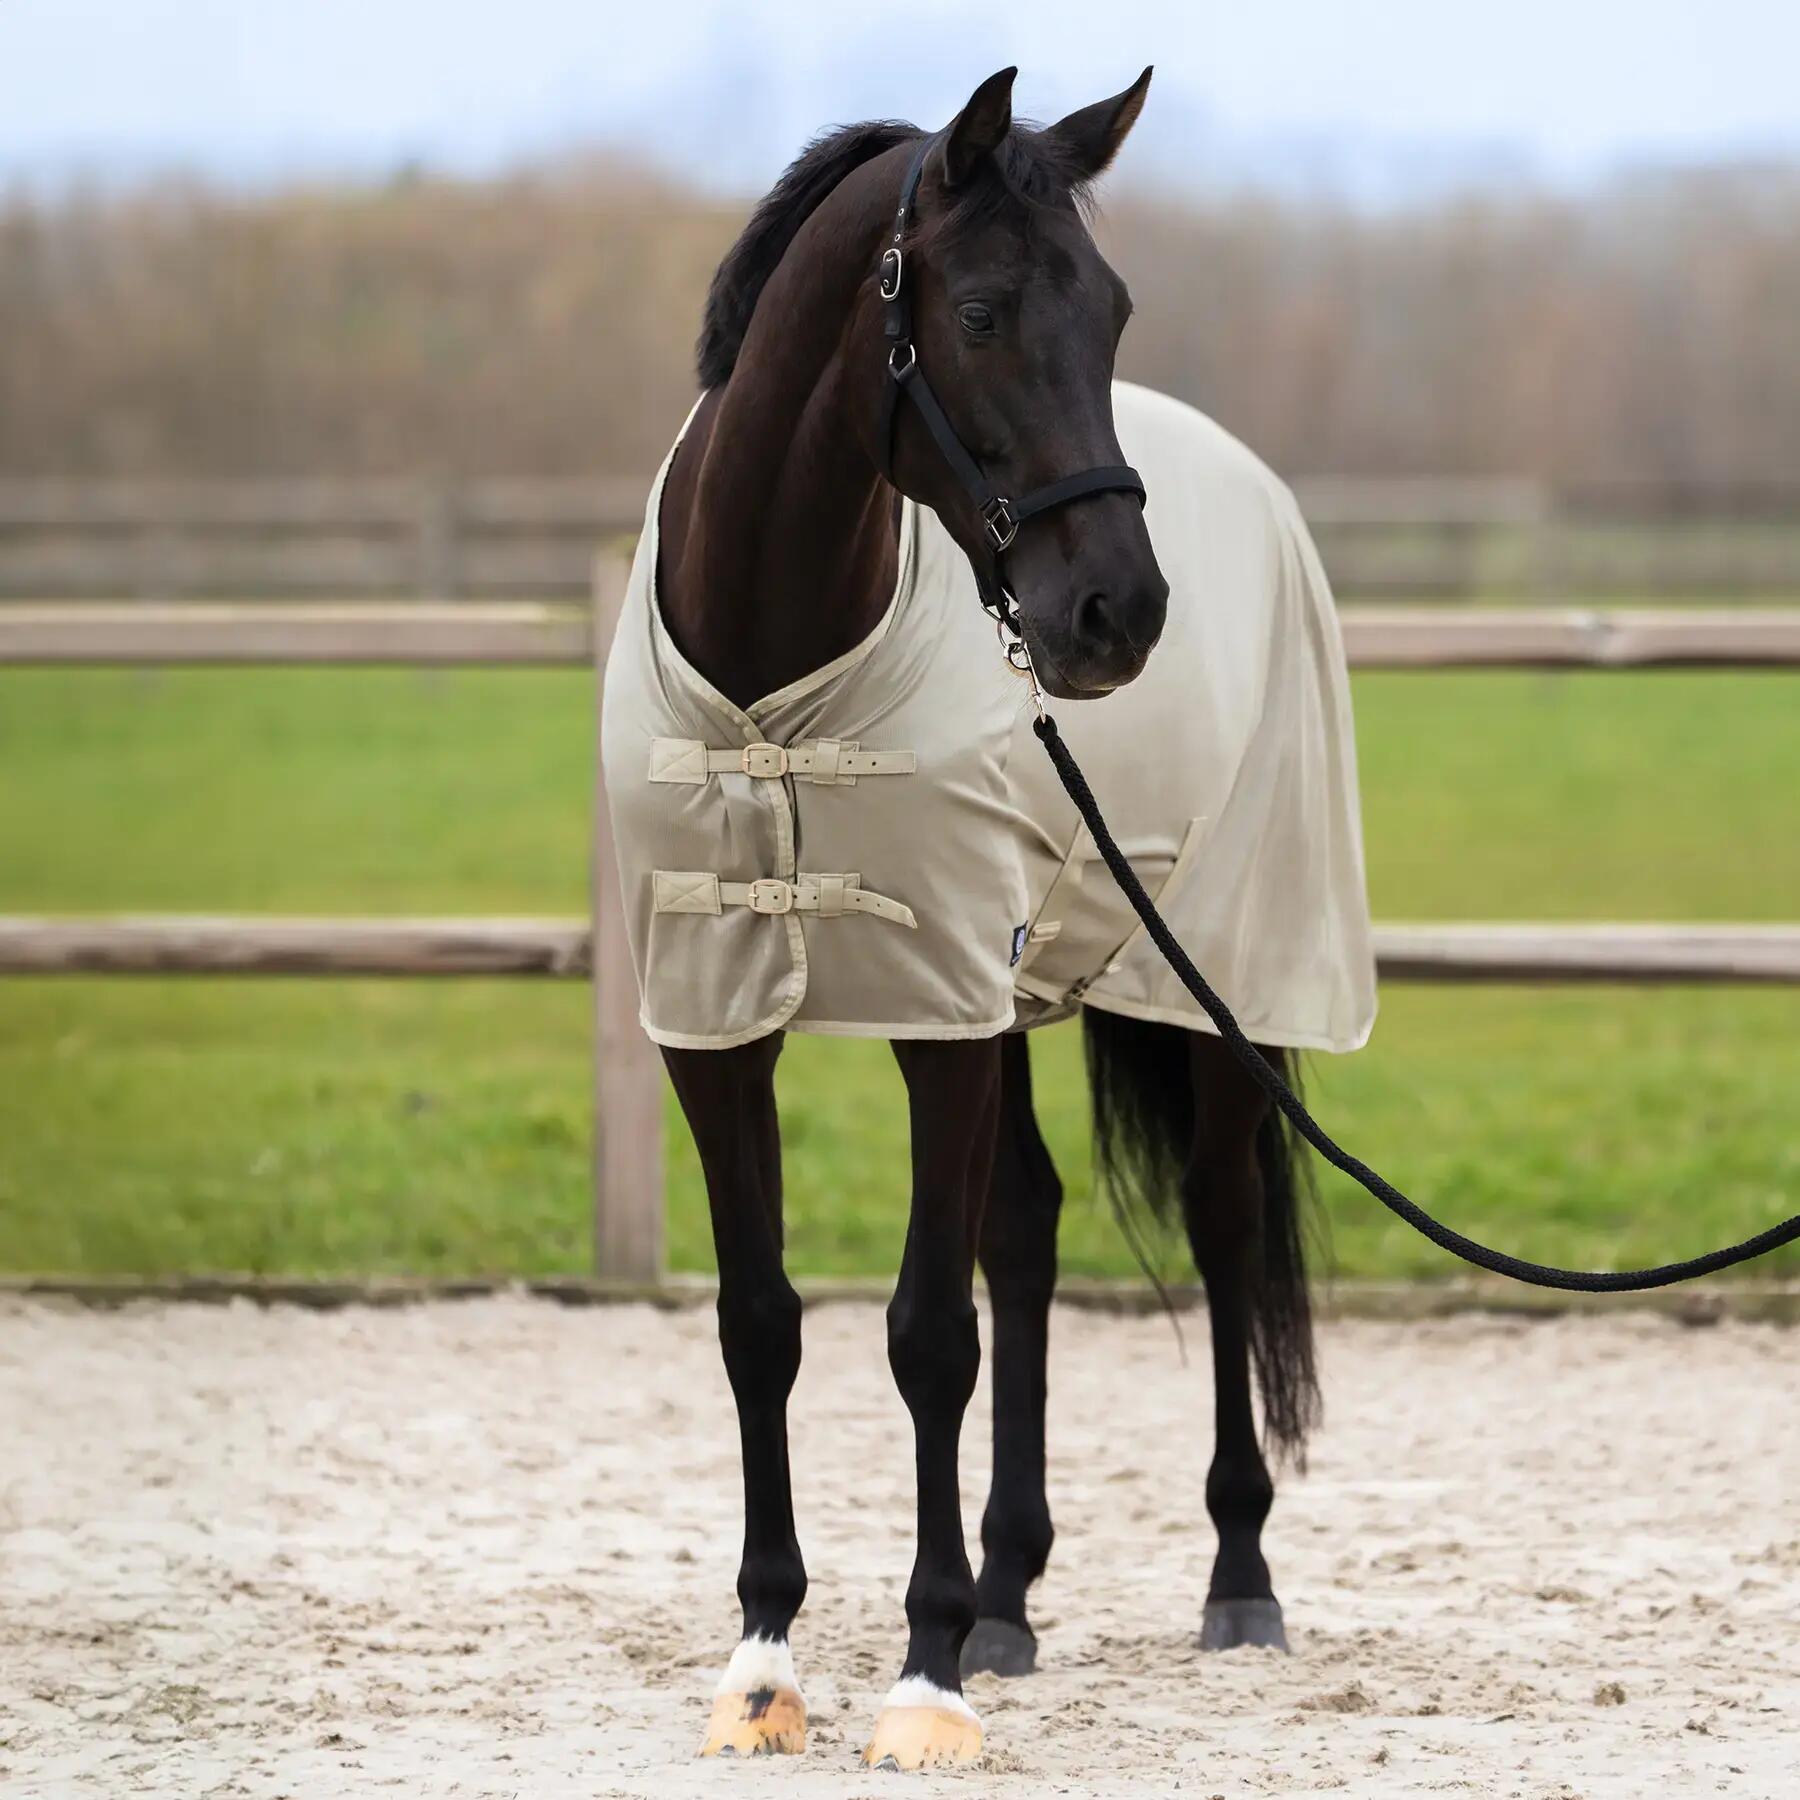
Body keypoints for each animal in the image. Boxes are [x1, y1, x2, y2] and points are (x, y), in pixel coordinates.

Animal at [601, 66, 1375, 1770]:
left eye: (1116, 308)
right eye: (976, 310)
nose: (1117, 615)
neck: (777, 679)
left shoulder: (936, 1017)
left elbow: (923, 1336)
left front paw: (924, 1676)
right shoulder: (721, 1019)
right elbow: (764, 1322)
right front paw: (766, 1662)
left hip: (1218, 977)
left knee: (1221, 1228)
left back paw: (1236, 1577)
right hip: (1017, 991)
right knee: (1024, 1230)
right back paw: (1013, 1594)